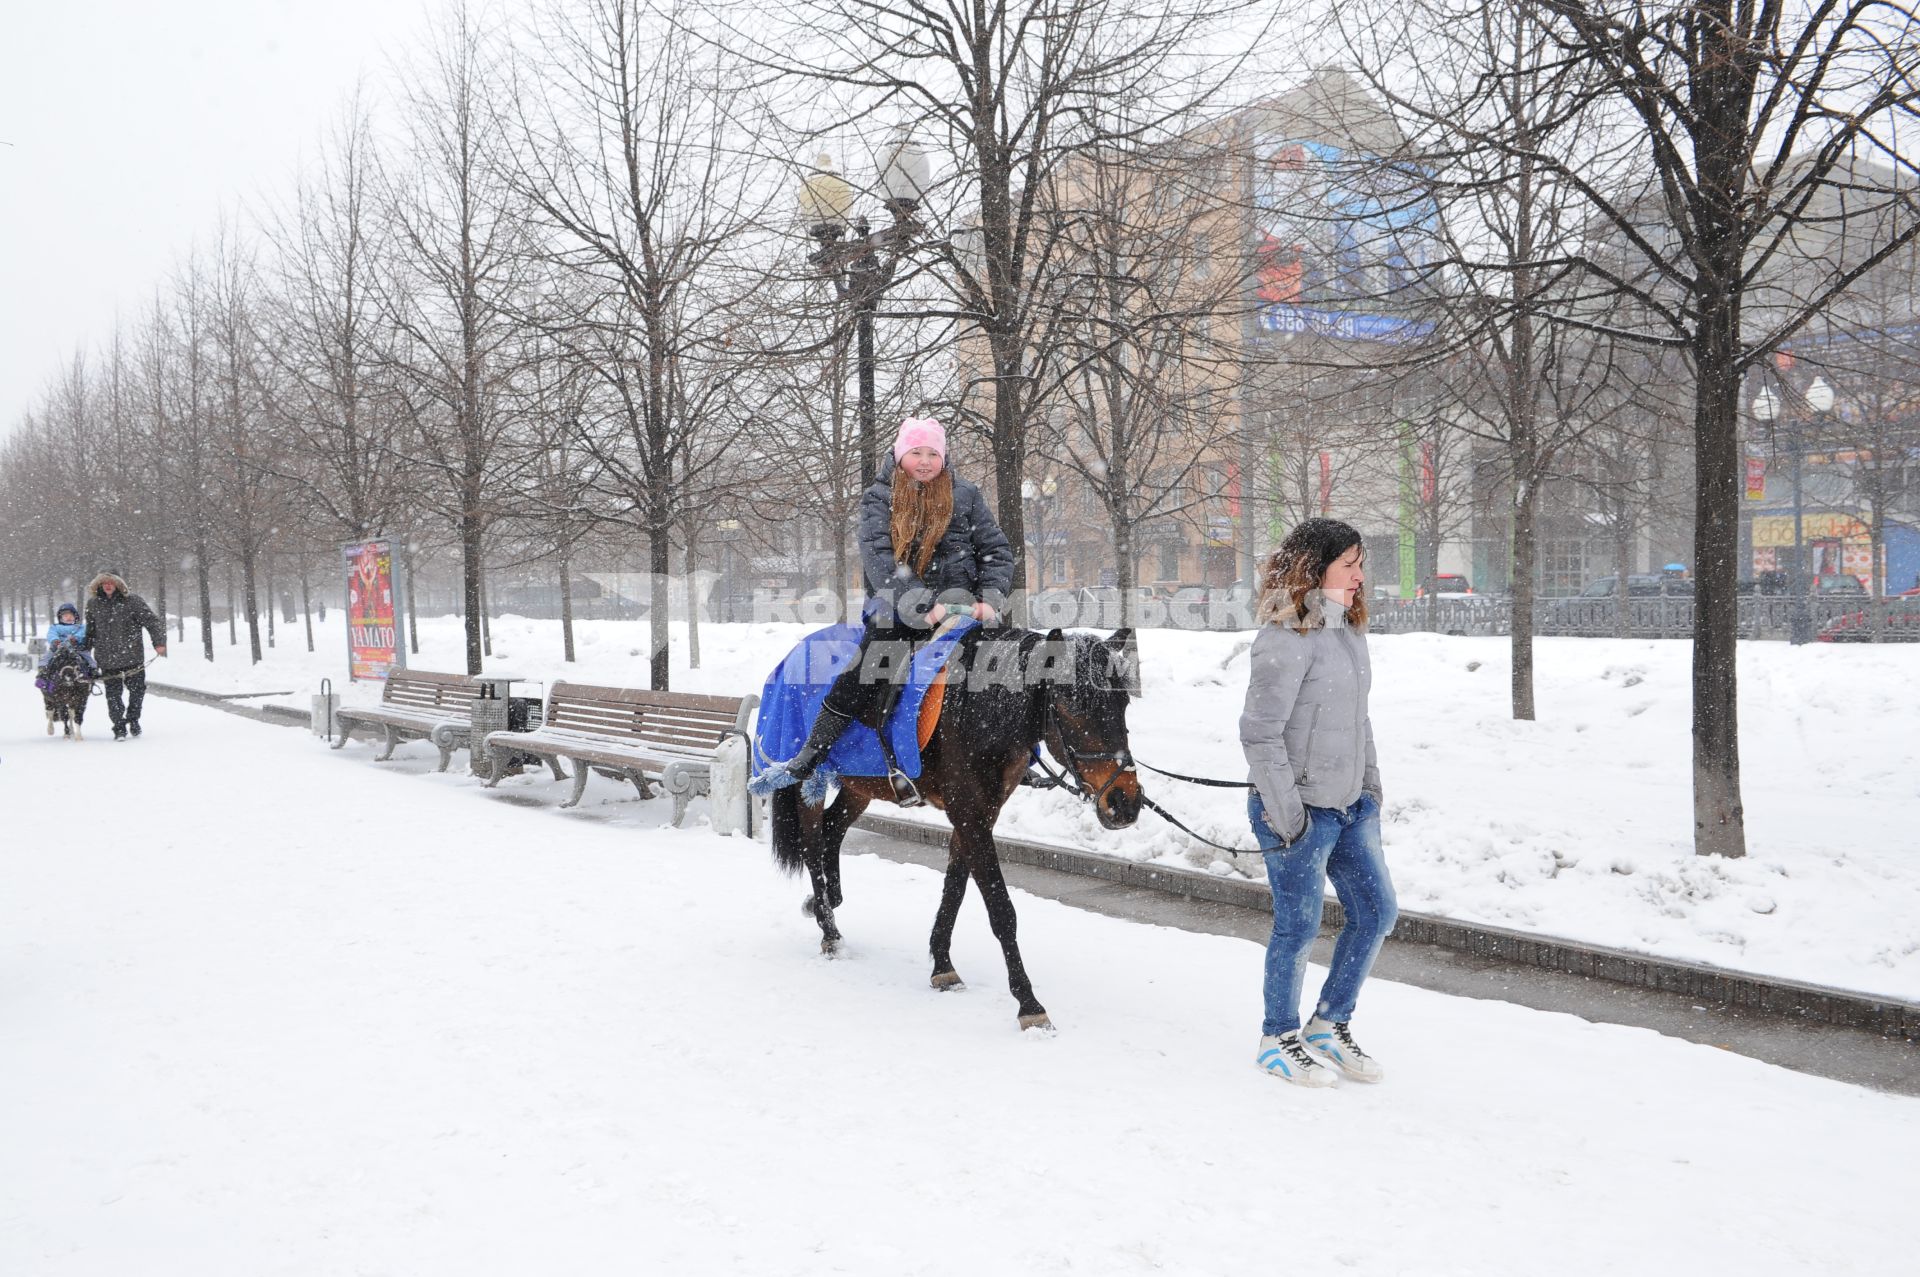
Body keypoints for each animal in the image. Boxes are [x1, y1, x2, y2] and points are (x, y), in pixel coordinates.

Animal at [764, 622, 1136, 1029]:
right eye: (1072, 705)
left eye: (1123, 703)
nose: (1125, 801)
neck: (978, 708)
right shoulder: (970, 815)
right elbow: (1001, 910)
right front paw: (1029, 1004)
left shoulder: (977, 815)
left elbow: (955, 889)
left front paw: (942, 965)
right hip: (808, 782)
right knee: (812, 844)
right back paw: (829, 931)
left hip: (859, 785)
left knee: (832, 832)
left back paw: (824, 903)